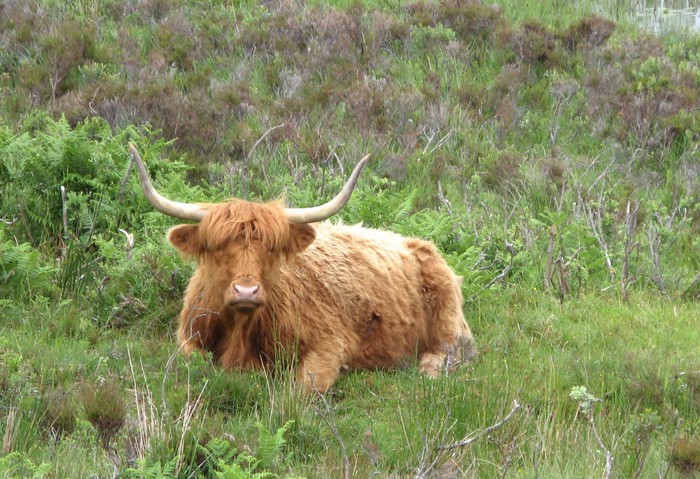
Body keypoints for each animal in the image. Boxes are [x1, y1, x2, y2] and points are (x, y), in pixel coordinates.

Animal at [131, 143, 476, 394]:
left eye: (271, 249)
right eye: (217, 247)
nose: (246, 291)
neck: (241, 329)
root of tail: (417, 243)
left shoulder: (330, 343)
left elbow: (302, 389)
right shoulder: (188, 337)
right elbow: (190, 362)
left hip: (448, 323)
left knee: (447, 353)